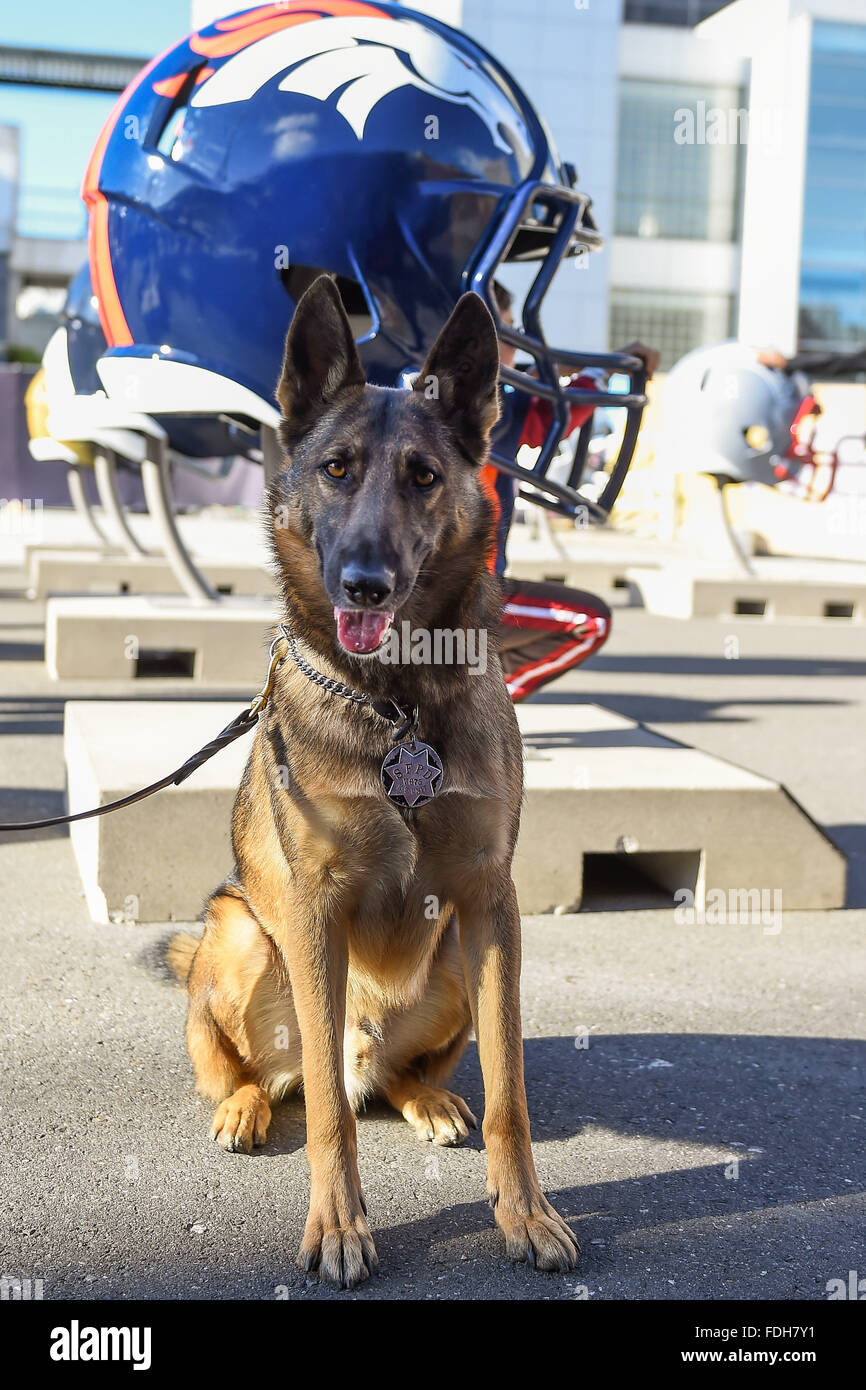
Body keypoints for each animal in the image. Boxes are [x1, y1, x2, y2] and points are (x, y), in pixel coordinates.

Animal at [166, 273, 578, 1289]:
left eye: (424, 477)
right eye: (337, 470)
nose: (364, 583)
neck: (398, 702)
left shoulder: (491, 902)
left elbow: (511, 1093)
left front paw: (525, 1214)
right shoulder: (317, 909)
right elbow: (325, 1113)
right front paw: (340, 1226)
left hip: (456, 963)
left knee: (393, 1080)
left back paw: (430, 1100)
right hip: (240, 934)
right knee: (274, 1074)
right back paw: (242, 1107)